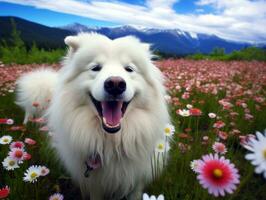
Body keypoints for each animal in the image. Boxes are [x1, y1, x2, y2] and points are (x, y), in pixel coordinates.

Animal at [16, 33, 169, 199]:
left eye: (129, 69)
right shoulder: (95, 185)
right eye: (95, 68)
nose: (115, 84)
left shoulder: (137, 181)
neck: (111, 143)